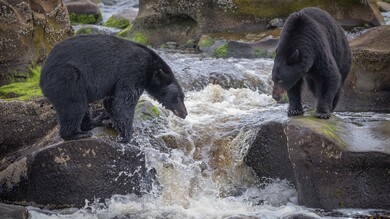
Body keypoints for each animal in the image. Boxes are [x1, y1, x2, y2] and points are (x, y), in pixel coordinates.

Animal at [40, 34, 187, 142]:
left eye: (183, 97)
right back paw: (77, 134)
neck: (150, 69)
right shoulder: (132, 70)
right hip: (68, 78)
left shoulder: (117, 80)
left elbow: (111, 100)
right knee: (74, 105)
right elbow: (124, 102)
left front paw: (113, 123)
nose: (185, 113)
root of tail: (42, 78)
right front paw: (127, 135)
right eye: (178, 97)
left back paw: (95, 121)